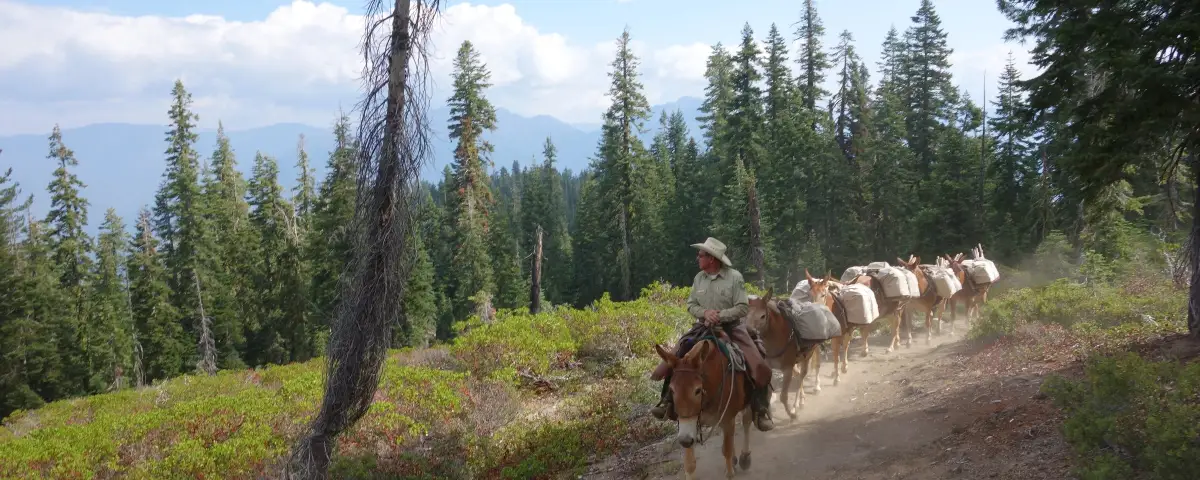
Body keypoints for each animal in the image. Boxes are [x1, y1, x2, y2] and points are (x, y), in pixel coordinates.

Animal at [654, 333, 755, 480]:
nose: (684, 441)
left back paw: (745, 457)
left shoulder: (728, 418)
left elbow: (727, 451)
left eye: (697, 390)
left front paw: (731, 470)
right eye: (671, 390)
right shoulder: (689, 426)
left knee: (746, 421)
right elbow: (689, 464)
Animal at [745, 273, 827, 420]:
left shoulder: (788, 369)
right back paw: (801, 400)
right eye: (746, 314)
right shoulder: (770, 368)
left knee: (802, 376)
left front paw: (792, 414)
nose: (750, 332)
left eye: (762, 316)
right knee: (799, 375)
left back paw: (796, 406)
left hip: (807, 356)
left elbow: (783, 396)